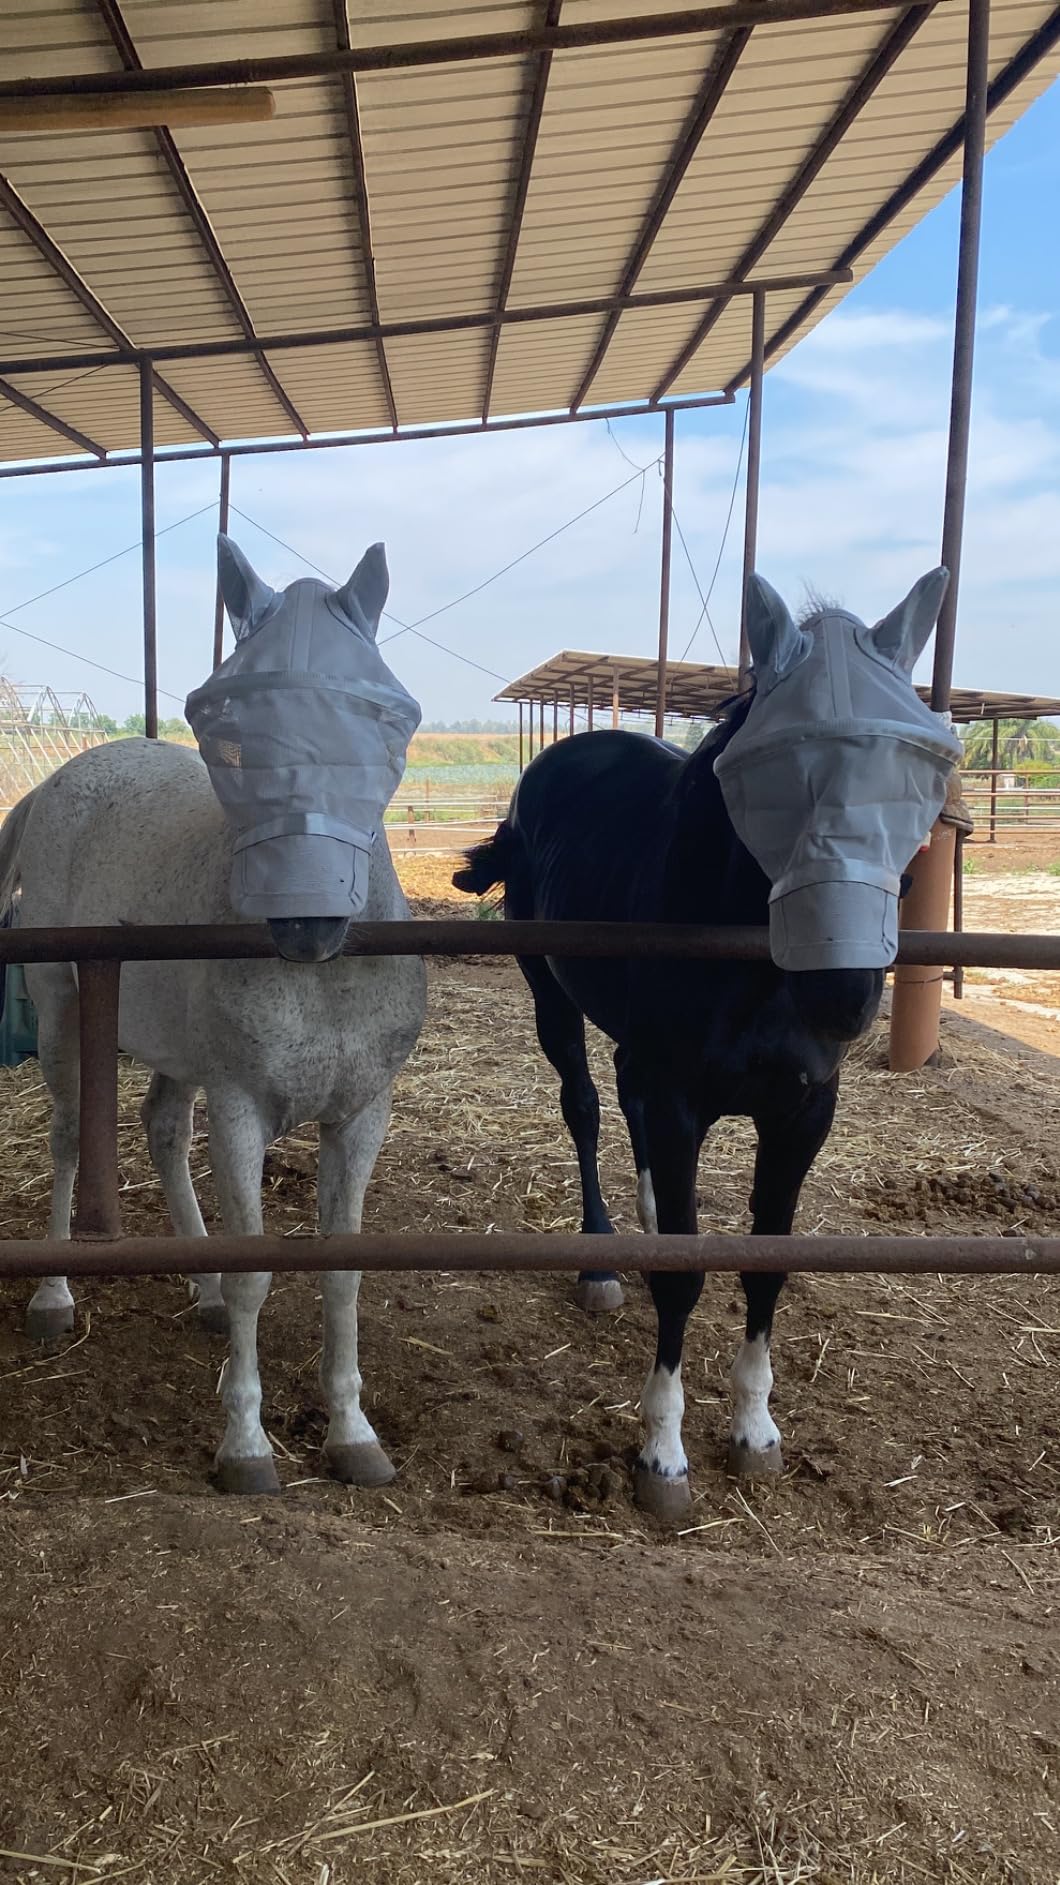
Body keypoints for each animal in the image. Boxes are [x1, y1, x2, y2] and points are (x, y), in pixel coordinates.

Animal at [0, 535, 426, 1495]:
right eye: (223, 721)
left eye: (383, 719)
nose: (307, 920)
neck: (323, 980)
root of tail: (60, 780)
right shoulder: (240, 1108)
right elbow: (256, 1275)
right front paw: (245, 1444)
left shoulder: (362, 1115)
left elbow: (341, 1274)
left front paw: (353, 1434)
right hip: (62, 1013)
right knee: (70, 1136)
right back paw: (53, 1297)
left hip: (173, 1051)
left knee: (160, 1126)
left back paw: (194, 1288)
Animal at [455, 570, 961, 1523]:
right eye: (769, 769)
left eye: (923, 763)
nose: (844, 991)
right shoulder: (681, 1099)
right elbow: (683, 1279)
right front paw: (663, 1453)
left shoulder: (803, 1109)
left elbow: (765, 1266)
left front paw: (756, 1431)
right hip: (552, 997)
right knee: (585, 1105)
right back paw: (605, 1257)